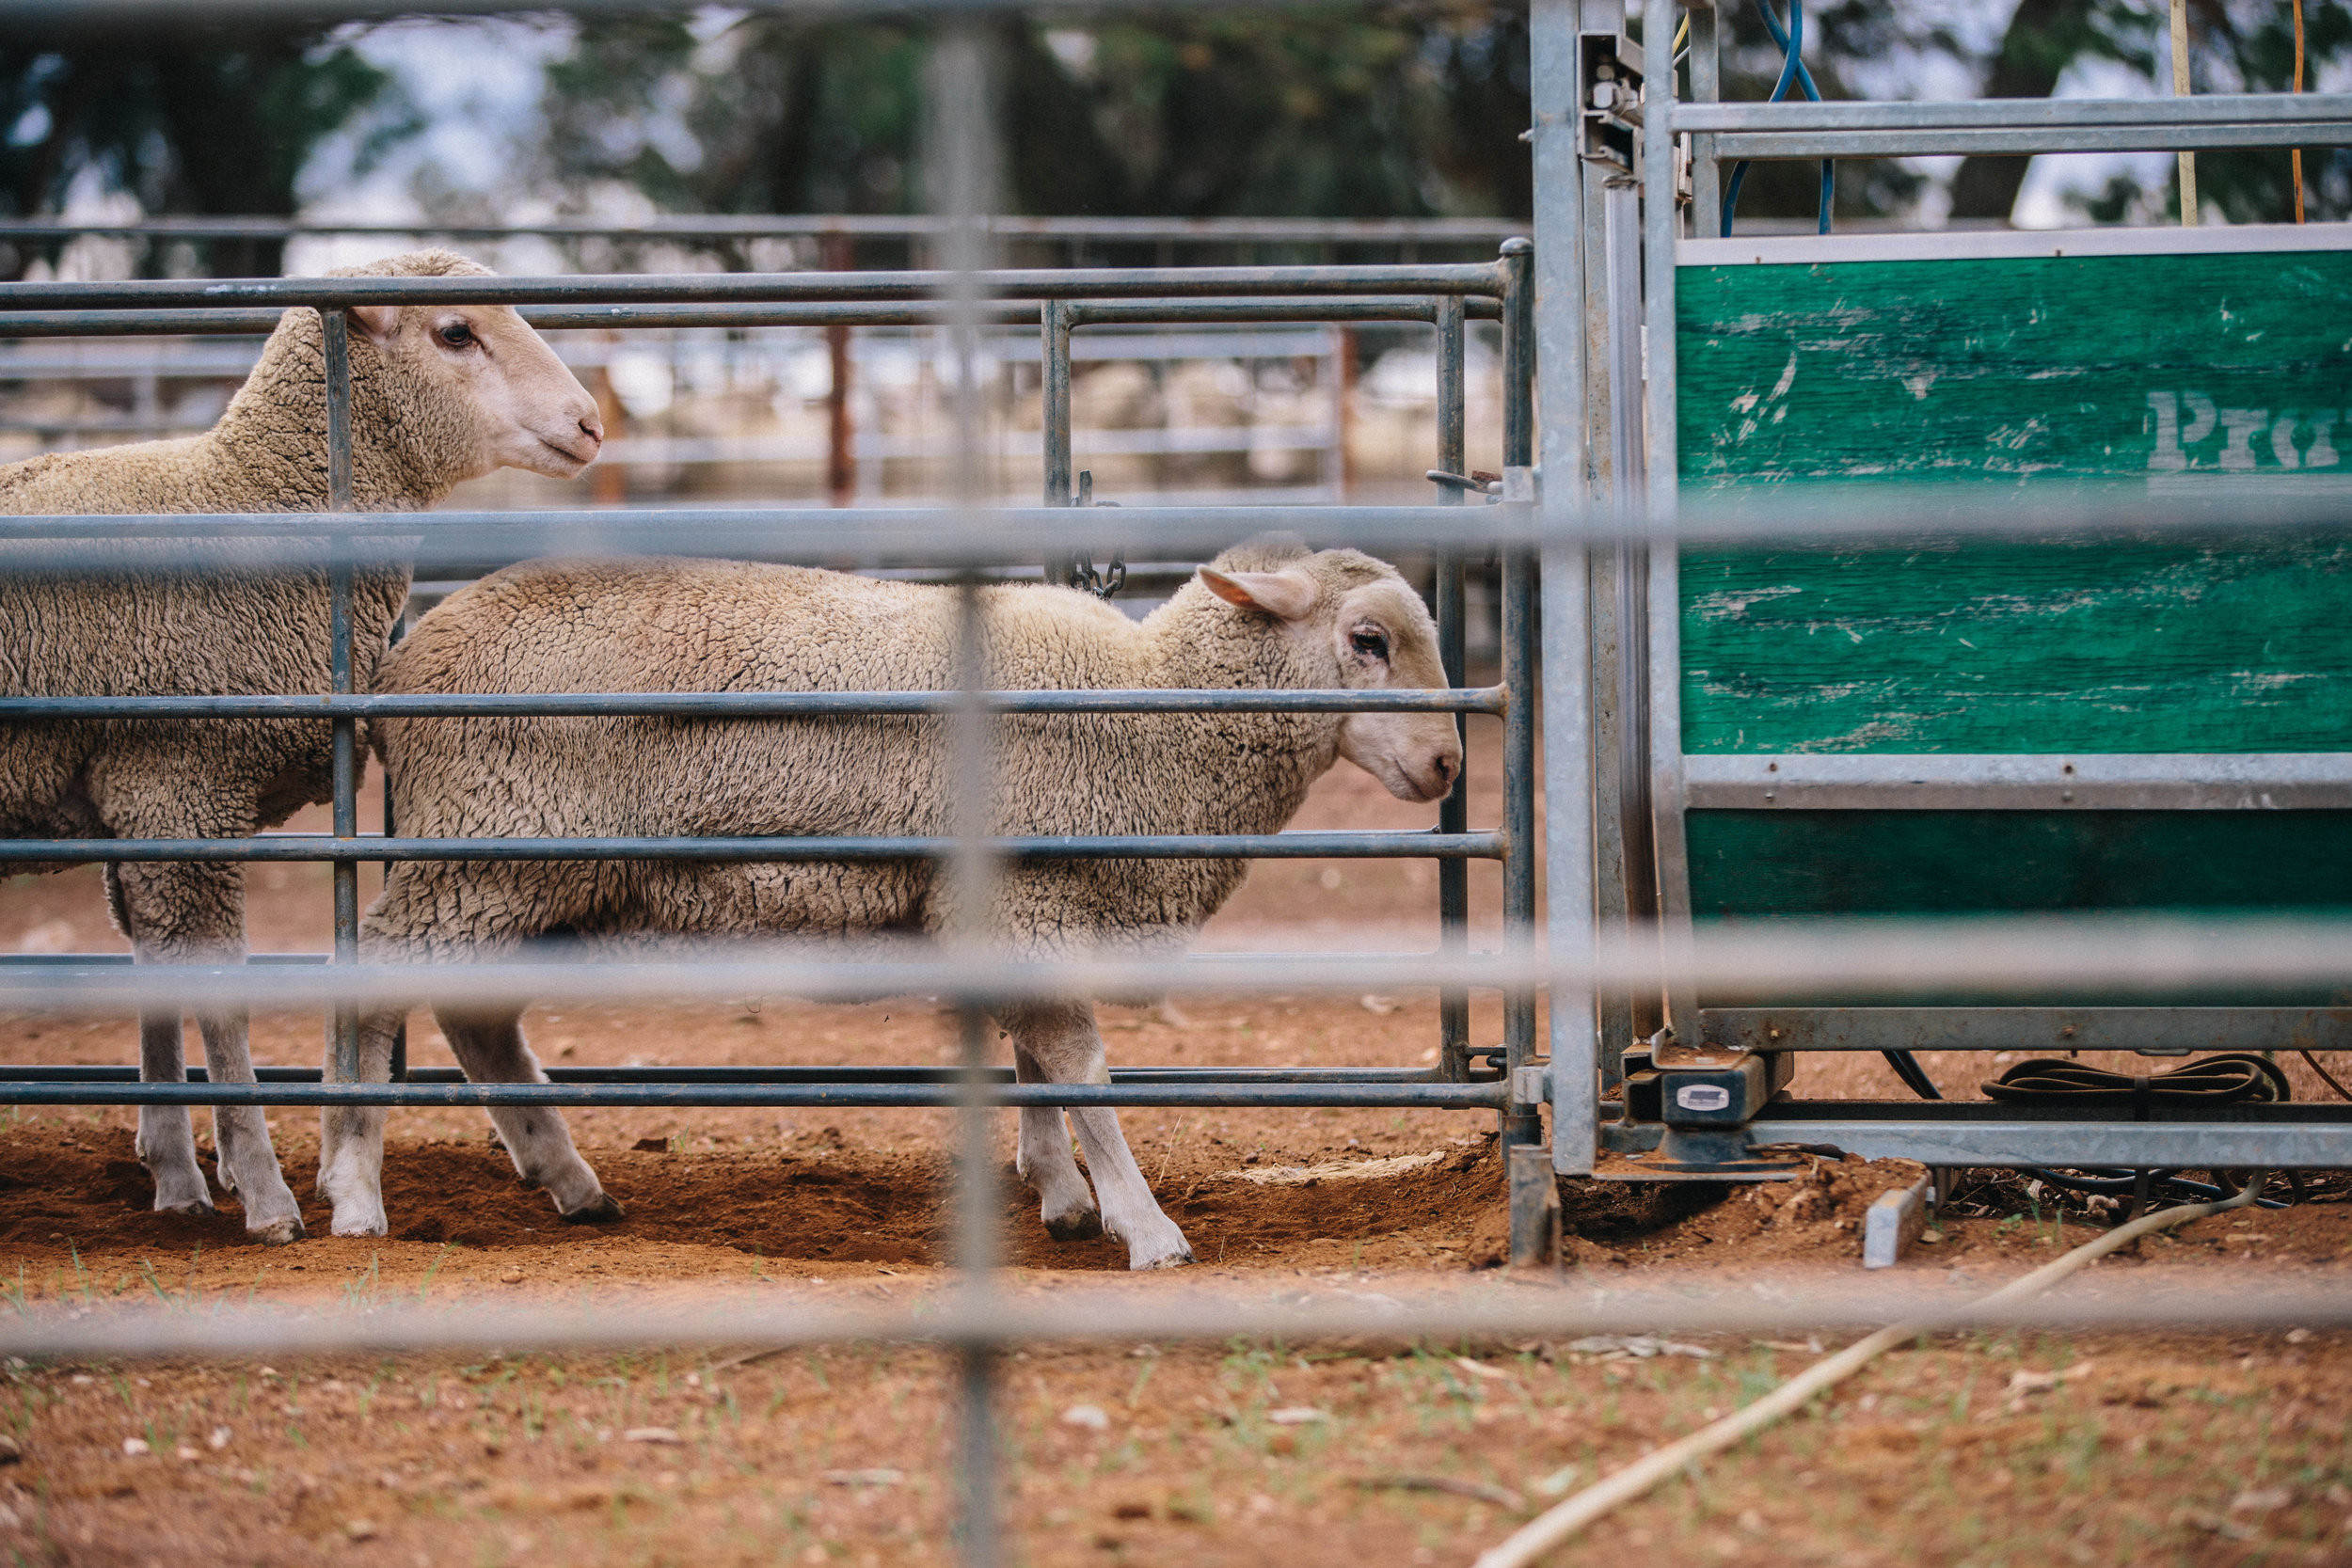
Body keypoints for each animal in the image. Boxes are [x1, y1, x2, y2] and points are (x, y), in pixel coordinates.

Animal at [2, 251, 607, 1241]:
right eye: (454, 332)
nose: (591, 423)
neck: (247, 501)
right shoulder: (181, 781)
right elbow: (212, 988)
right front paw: (263, 1192)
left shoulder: (138, 799)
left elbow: (154, 975)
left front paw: (177, 1174)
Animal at [322, 533, 1458, 1269]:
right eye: (1368, 640)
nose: (1450, 763)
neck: (1154, 707)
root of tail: (404, 664)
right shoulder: (1025, 895)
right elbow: (1080, 1069)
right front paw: (1144, 1227)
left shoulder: (1006, 907)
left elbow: (1034, 1062)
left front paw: (1059, 1194)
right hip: (486, 847)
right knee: (377, 987)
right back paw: (354, 1191)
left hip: (514, 870)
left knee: (476, 1015)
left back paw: (568, 1181)